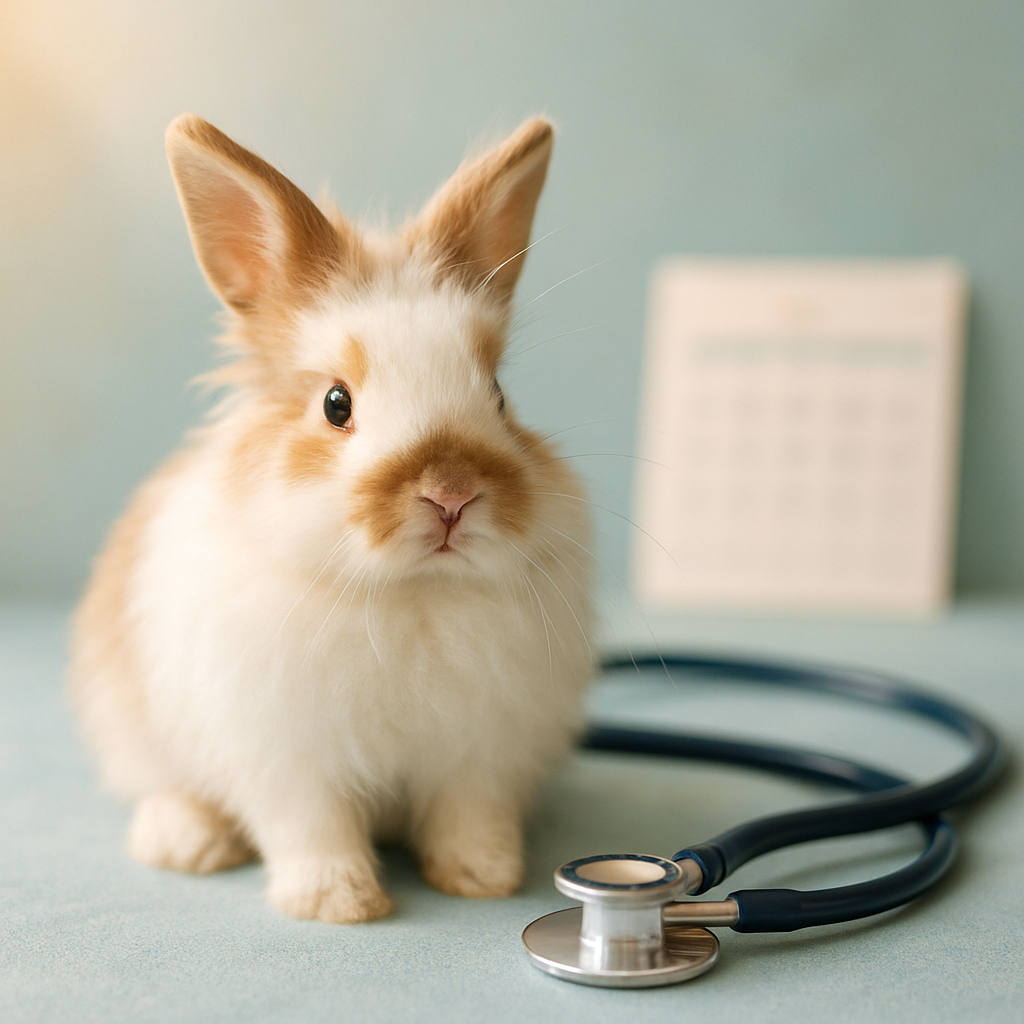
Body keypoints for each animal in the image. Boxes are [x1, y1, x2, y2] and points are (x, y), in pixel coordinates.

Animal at [68, 114, 594, 924]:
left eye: (500, 396)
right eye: (335, 404)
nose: (451, 495)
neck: (412, 596)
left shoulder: (480, 757)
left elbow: (469, 816)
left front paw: (484, 877)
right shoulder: (288, 761)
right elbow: (311, 827)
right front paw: (336, 903)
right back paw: (185, 843)